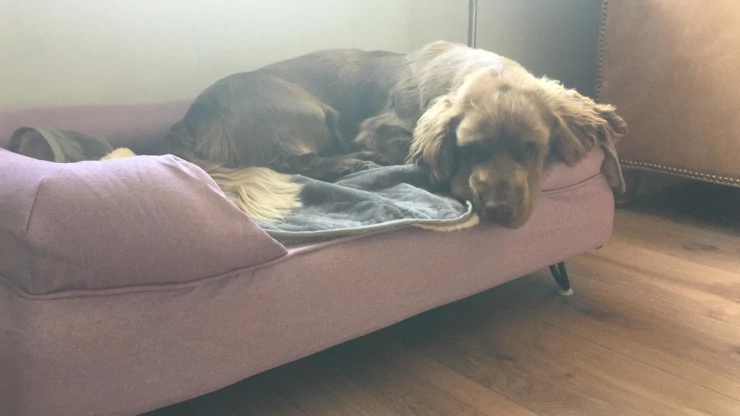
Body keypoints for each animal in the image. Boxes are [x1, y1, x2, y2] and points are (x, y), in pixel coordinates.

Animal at [165, 41, 627, 227]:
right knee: (291, 161)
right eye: (470, 148)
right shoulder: (379, 128)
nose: (497, 210)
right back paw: (349, 164)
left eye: (532, 150)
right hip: (308, 109)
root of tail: (189, 121)